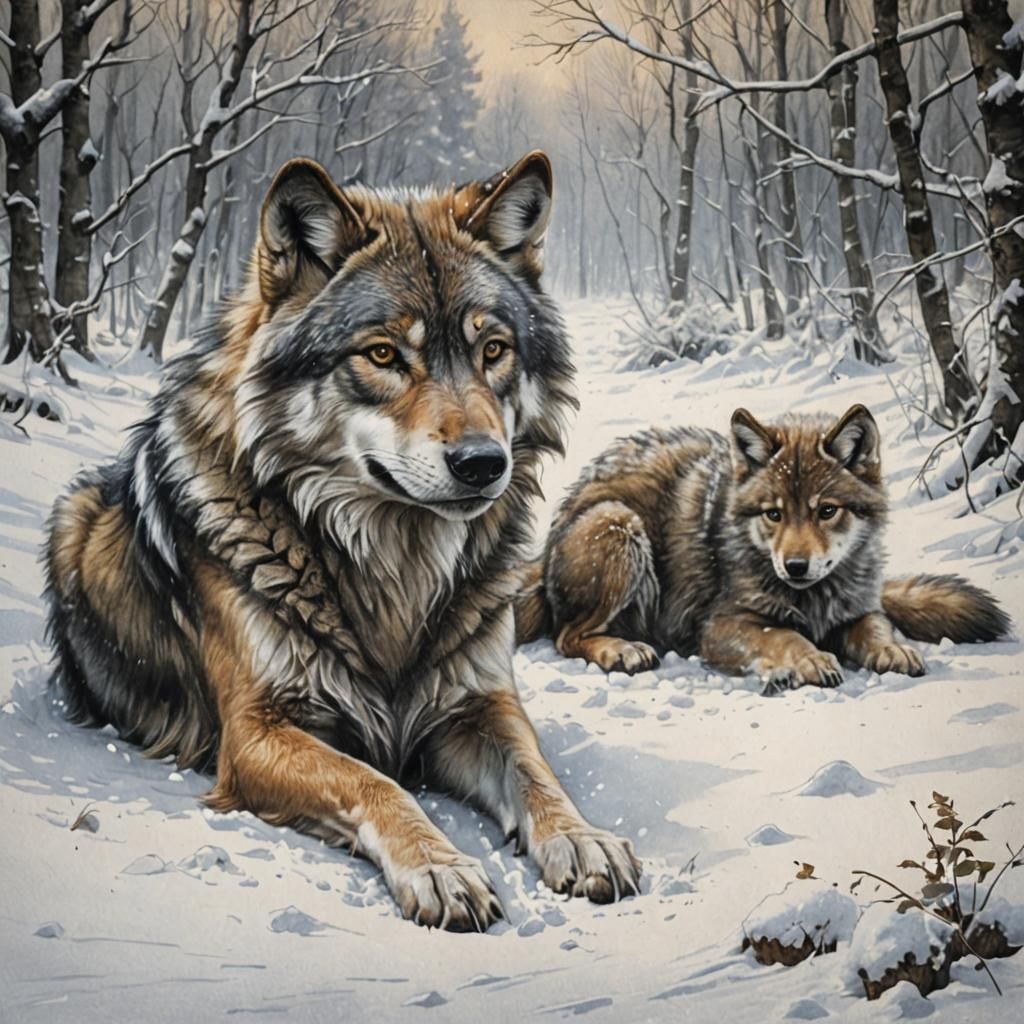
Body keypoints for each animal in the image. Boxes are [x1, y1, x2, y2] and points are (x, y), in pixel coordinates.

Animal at [44, 151, 641, 931]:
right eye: (383, 354)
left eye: (494, 350)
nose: (484, 463)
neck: (393, 568)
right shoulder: (257, 734)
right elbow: (377, 783)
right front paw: (441, 867)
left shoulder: (480, 703)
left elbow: (537, 773)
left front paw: (583, 838)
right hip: (71, 514)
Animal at [517, 404, 1010, 687]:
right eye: (774, 514)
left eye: (825, 511)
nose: (795, 565)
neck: (813, 597)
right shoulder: (720, 625)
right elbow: (784, 634)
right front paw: (809, 660)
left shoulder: (858, 609)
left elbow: (876, 627)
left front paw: (891, 651)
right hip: (619, 524)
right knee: (567, 636)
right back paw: (622, 650)